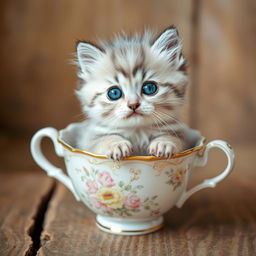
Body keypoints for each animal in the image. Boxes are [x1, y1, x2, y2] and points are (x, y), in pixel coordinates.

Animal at [75, 27, 189, 161]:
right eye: (114, 93)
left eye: (149, 88)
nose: (133, 104)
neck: (137, 132)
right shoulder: (91, 136)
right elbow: (103, 139)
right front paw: (116, 145)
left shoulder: (178, 132)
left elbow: (174, 137)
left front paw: (164, 143)